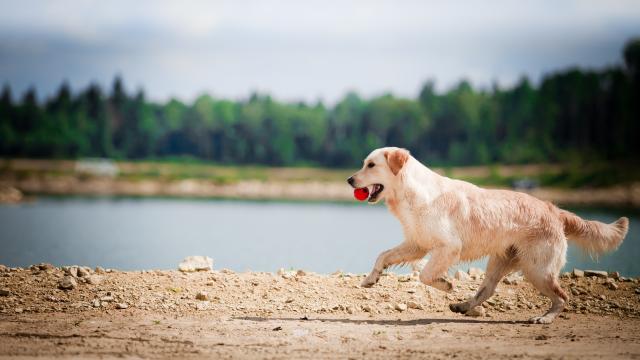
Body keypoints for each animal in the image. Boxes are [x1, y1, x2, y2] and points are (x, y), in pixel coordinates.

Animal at [348, 146, 628, 324]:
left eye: (371, 165)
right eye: (364, 163)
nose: (350, 180)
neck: (411, 193)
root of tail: (554, 210)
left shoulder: (449, 246)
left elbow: (426, 274)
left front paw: (446, 284)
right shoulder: (417, 243)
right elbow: (383, 255)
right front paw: (371, 279)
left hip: (538, 269)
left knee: (562, 297)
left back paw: (544, 318)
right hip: (501, 261)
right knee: (488, 290)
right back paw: (463, 306)